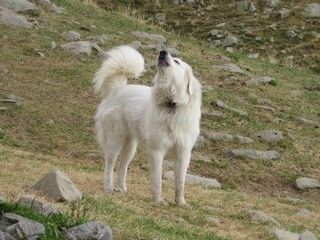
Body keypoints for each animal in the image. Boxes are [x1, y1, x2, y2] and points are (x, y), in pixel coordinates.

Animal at [92, 45, 201, 206]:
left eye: (177, 62)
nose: (162, 52)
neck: (171, 106)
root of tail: (118, 88)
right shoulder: (157, 151)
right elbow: (157, 180)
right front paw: (159, 201)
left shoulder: (183, 152)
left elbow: (180, 182)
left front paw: (181, 203)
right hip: (114, 142)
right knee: (109, 166)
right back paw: (108, 188)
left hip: (130, 147)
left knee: (122, 168)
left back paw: (122, 189)